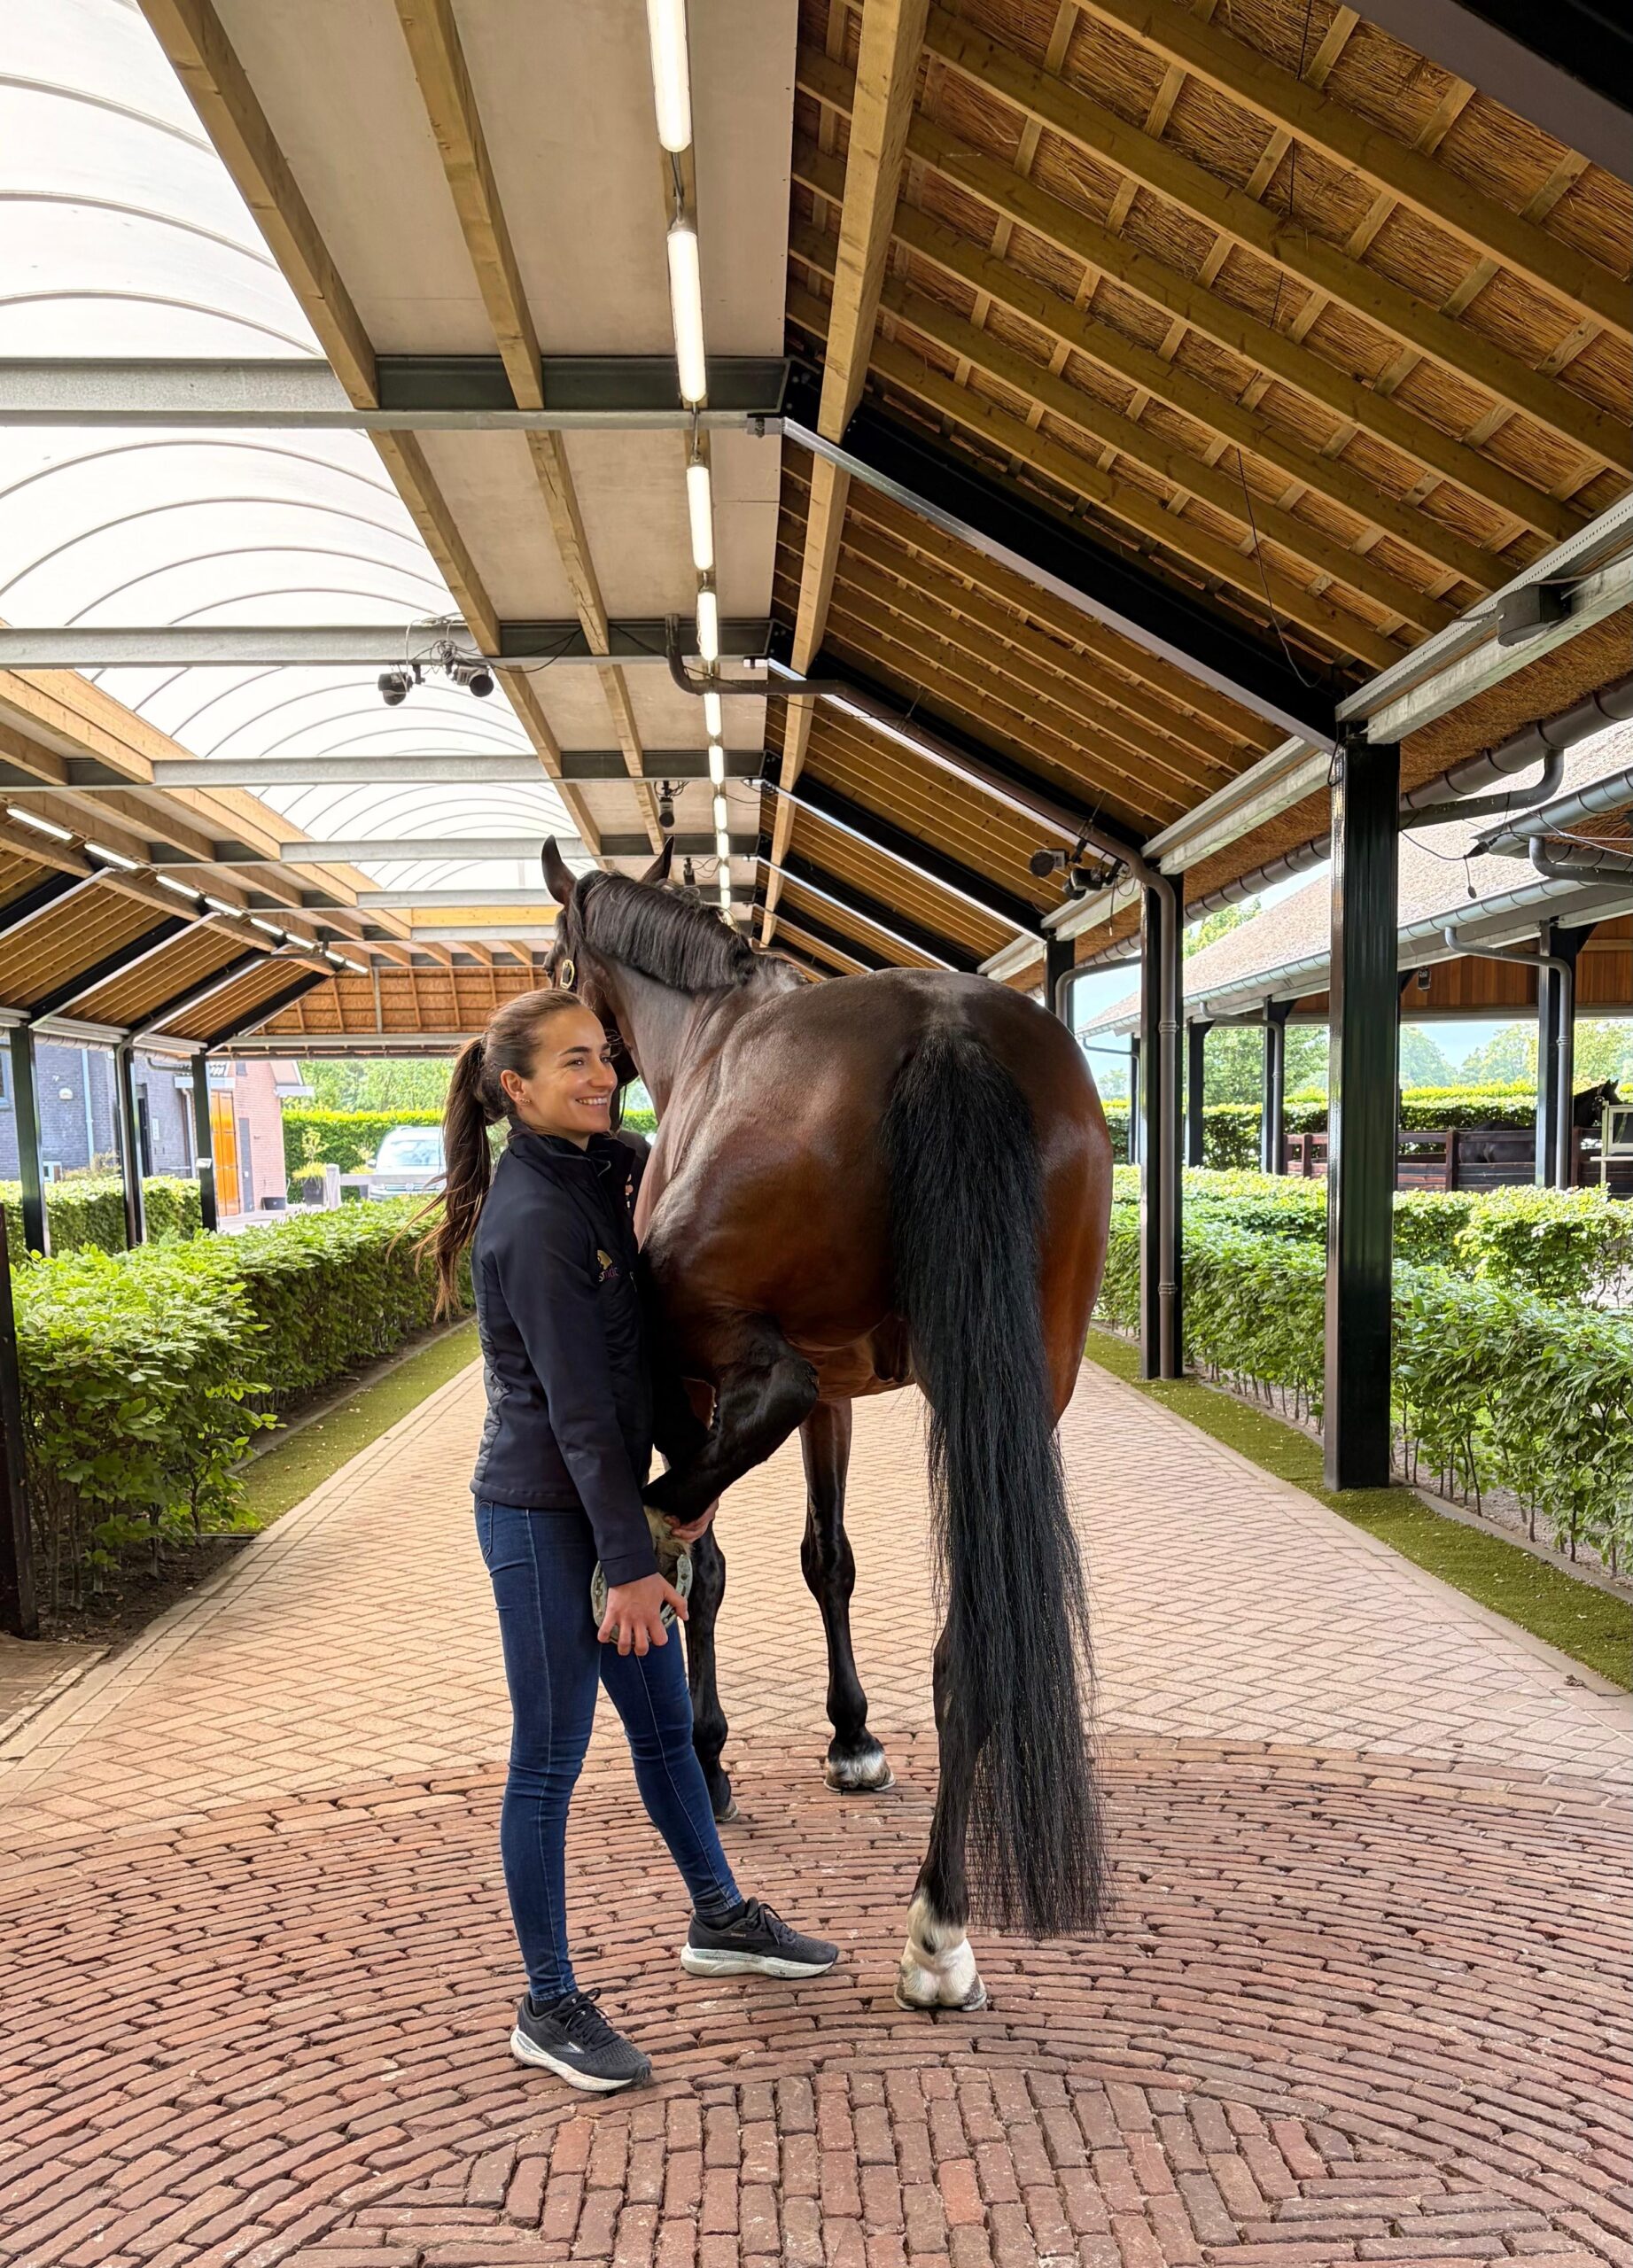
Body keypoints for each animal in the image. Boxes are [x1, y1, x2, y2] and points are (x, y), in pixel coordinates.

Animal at [540, 838, 1114, 2011]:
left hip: (705, 1328)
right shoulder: (851, 1396)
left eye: (556, 963)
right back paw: (939, 1930)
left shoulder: (699, 1383)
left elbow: (716, 1563)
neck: (710, 1026)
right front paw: (851, 1733)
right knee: (969, 1647)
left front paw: (709, 1752)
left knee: (763, 1409)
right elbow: (828, 1556)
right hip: (1022, 1378)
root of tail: (944, 1025)